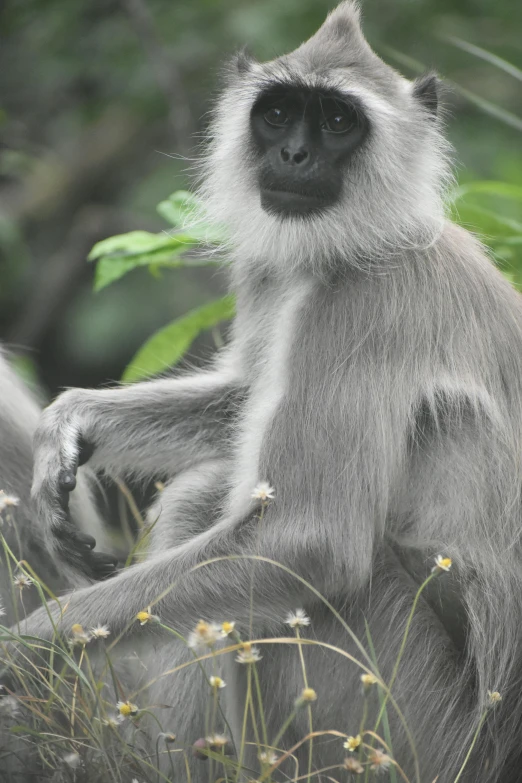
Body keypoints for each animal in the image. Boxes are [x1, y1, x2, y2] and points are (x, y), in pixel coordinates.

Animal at [9, 3, 522, 780]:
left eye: (338, 122)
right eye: (278, 114)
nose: (294, 157)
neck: (364, 241)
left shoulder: (363, 302)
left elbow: (308, 542)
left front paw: (25, 655)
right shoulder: (273, 269)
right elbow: (247, 395)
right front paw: (69, 423)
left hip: (404, 724)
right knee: (204, 492)